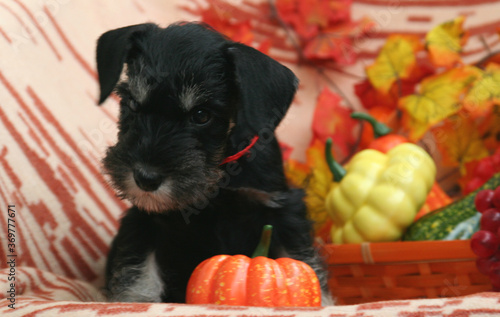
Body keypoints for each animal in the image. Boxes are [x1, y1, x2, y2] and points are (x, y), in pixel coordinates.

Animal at [96, 21, 332, 304]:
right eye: (132, 103)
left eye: (201, 115)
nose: (145, 178)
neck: (217, 179)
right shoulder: (146, 219)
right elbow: (139, 273)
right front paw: (138, 301)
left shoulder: (281, 210)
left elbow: (300, 260)